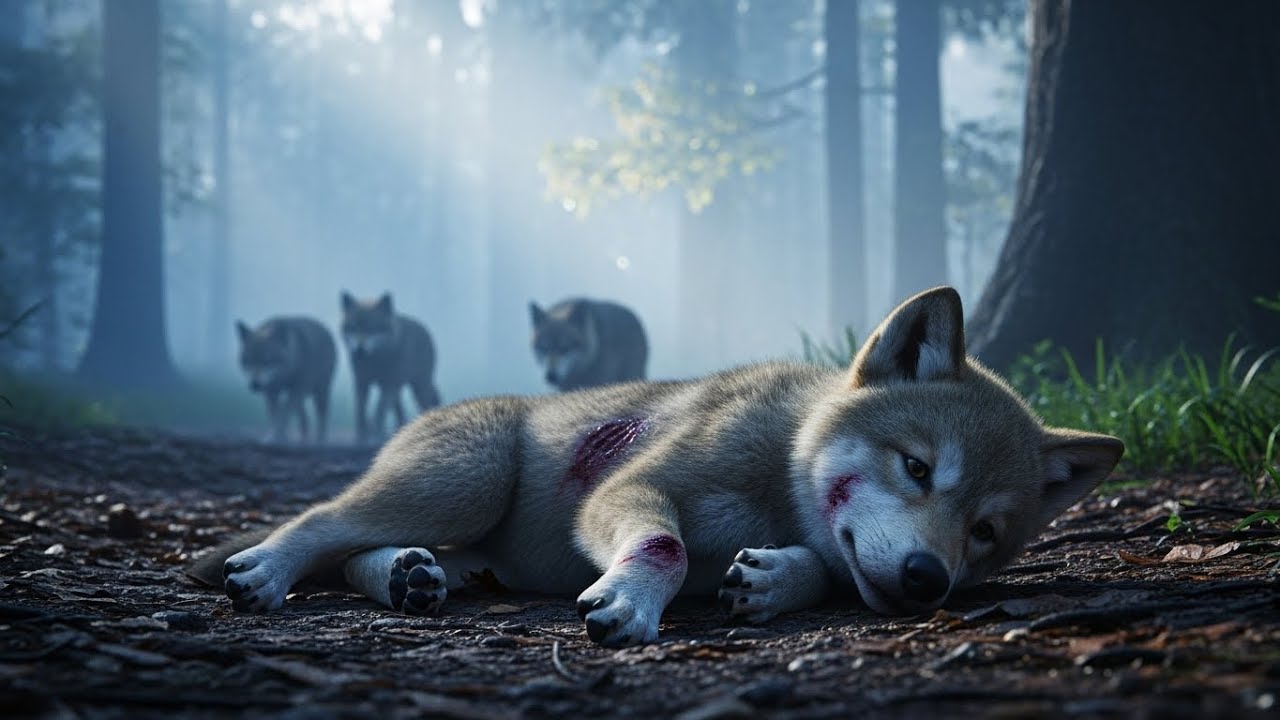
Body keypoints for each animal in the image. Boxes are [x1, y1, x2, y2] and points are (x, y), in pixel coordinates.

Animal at [340, 291, 441, 444]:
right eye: (353, 327)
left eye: (372, 328)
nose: (360, 349)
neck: (375, 361)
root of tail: (423, 327)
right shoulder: (361, 382)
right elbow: (361, 411)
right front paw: (361, 437)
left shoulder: (389, 384)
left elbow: (378, 411)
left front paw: (376, 435)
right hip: (398, 389)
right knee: (399, 411)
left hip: (418, 386)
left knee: (429, 401)